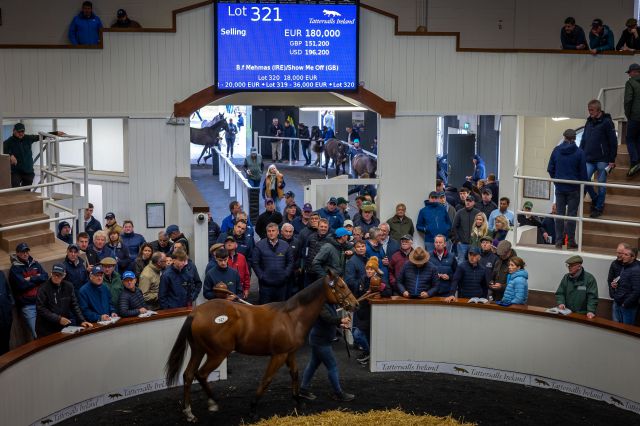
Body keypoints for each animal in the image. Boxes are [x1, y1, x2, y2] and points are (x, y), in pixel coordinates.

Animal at [164, 272, 360, 422]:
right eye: (341, 286)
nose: (355, 303)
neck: (292, 317)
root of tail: (196, 313)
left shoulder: (290, 353)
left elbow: (295, 374)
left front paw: (298, 400)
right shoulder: (278, 355)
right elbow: (266, 380)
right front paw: (252, 408)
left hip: (199, 350)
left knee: (188, 375)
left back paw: (189, 413)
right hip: (217, 354)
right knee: (201, 374)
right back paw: (213, 402)